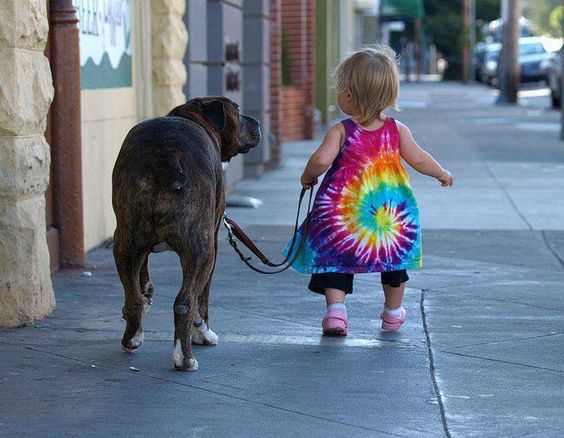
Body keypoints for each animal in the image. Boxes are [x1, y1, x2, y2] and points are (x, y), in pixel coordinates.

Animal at [113, 96, 262, 370]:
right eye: (237, 111)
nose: (256, 121)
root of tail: (163, 157)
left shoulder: (136, 245)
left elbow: (142, 275)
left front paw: (147, 293)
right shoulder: (211, 241)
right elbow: (202, 299)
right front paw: (202, 333)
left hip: (125, 239)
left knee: (132, 298)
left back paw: (133, 337)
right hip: (201, 252)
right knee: (185, 302)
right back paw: (185, 357)